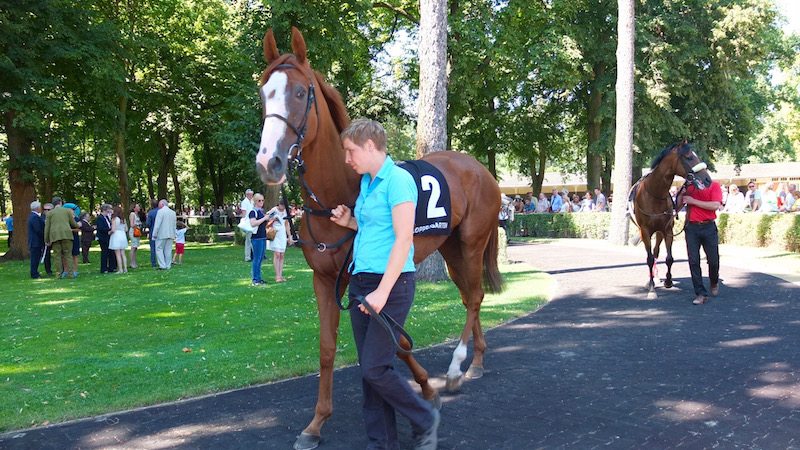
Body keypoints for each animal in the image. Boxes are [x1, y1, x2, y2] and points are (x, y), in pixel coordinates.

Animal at [256, 29, 504, 450]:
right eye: (263, 93)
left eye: (301, 93)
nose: (268, 161)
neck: (341, 191)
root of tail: (479, 168)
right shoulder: (326, 280)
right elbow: (329, 348)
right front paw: (316, 423)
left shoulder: (374, 285)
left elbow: (396, 343)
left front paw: (427, 389)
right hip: (452, 251)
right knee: (472, 296)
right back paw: (479, 360)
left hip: (472, 243)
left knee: (473, 299)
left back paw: (458, 366)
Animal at [632, 141, 712, 298]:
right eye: (689, 157)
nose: (707, 179)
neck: (655, 194)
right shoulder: (645, 231)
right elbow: (649, 258)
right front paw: (651, 289)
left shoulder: (667, 229)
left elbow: (669, 258)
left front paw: (668, 281)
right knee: (652, 254)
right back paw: (651, 281)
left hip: (659, 232)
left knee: (656, 251)